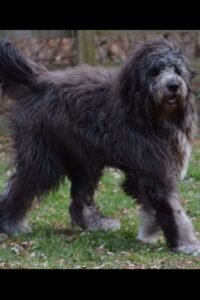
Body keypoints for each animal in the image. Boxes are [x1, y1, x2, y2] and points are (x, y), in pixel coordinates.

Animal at [0, 36, 198, 254]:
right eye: (155, 71)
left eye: (177, 70)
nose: (173, 86)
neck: (149, 114)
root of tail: (38, 80)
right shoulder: (155, 169)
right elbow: (172, 208)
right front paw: (186, 243)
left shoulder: (147, 169)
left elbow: (148, 200)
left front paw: (150, 229)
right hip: (44, 158)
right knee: (22, 186)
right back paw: (11, 225)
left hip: (84, 158)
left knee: (79, 198)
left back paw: (95, 223)